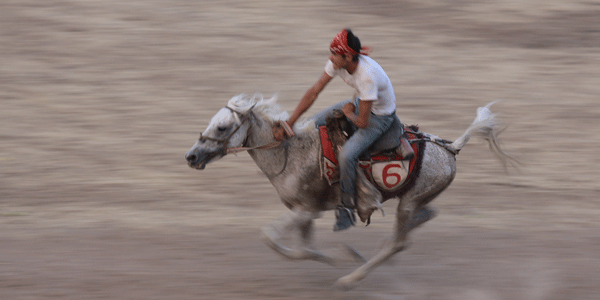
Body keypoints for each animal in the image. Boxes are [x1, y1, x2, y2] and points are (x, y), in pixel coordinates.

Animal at [184, 94, 516, 290]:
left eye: (223, 127)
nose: (191, 156)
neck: (289, 153)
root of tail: (451, 148)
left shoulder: (306, 210)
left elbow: (271, 237)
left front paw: (341, 262)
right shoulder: (305, 213)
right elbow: (303, 248)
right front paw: (342, 255)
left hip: (408, 201)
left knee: (399, 242)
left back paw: (351, 279)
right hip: (415, 200)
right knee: (416, 225)